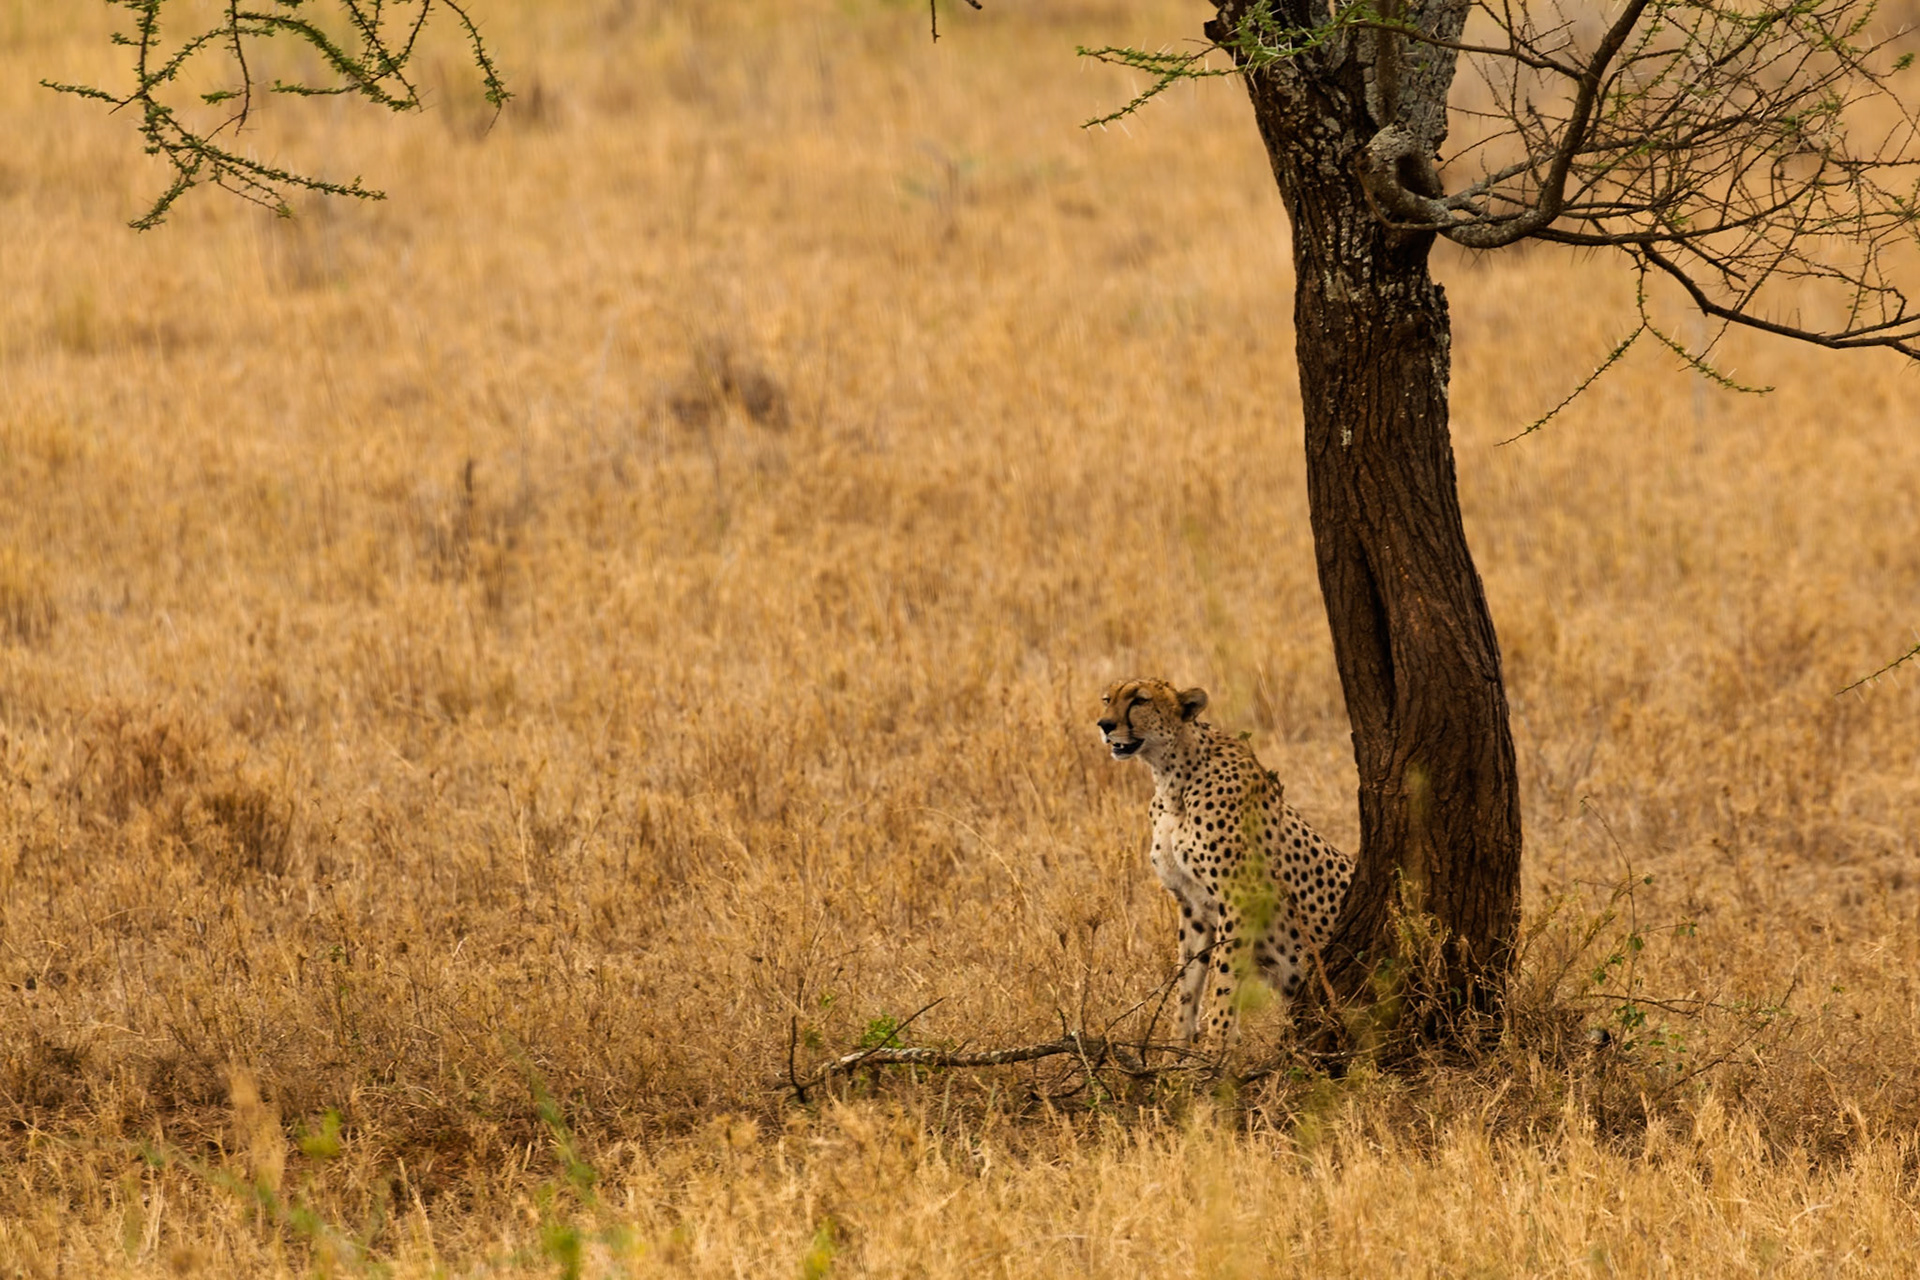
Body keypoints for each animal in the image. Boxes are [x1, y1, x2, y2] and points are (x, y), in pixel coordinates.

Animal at [1097, 677, 1353, 1050]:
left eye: (1139, 700)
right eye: (1107, 699)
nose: (1104, 725)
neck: (1173, 777)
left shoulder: (1240, 899)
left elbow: (1224, 981)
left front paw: (1215, 1050)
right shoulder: (1193, 906)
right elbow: (1188, 984)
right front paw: (1176, 1052)